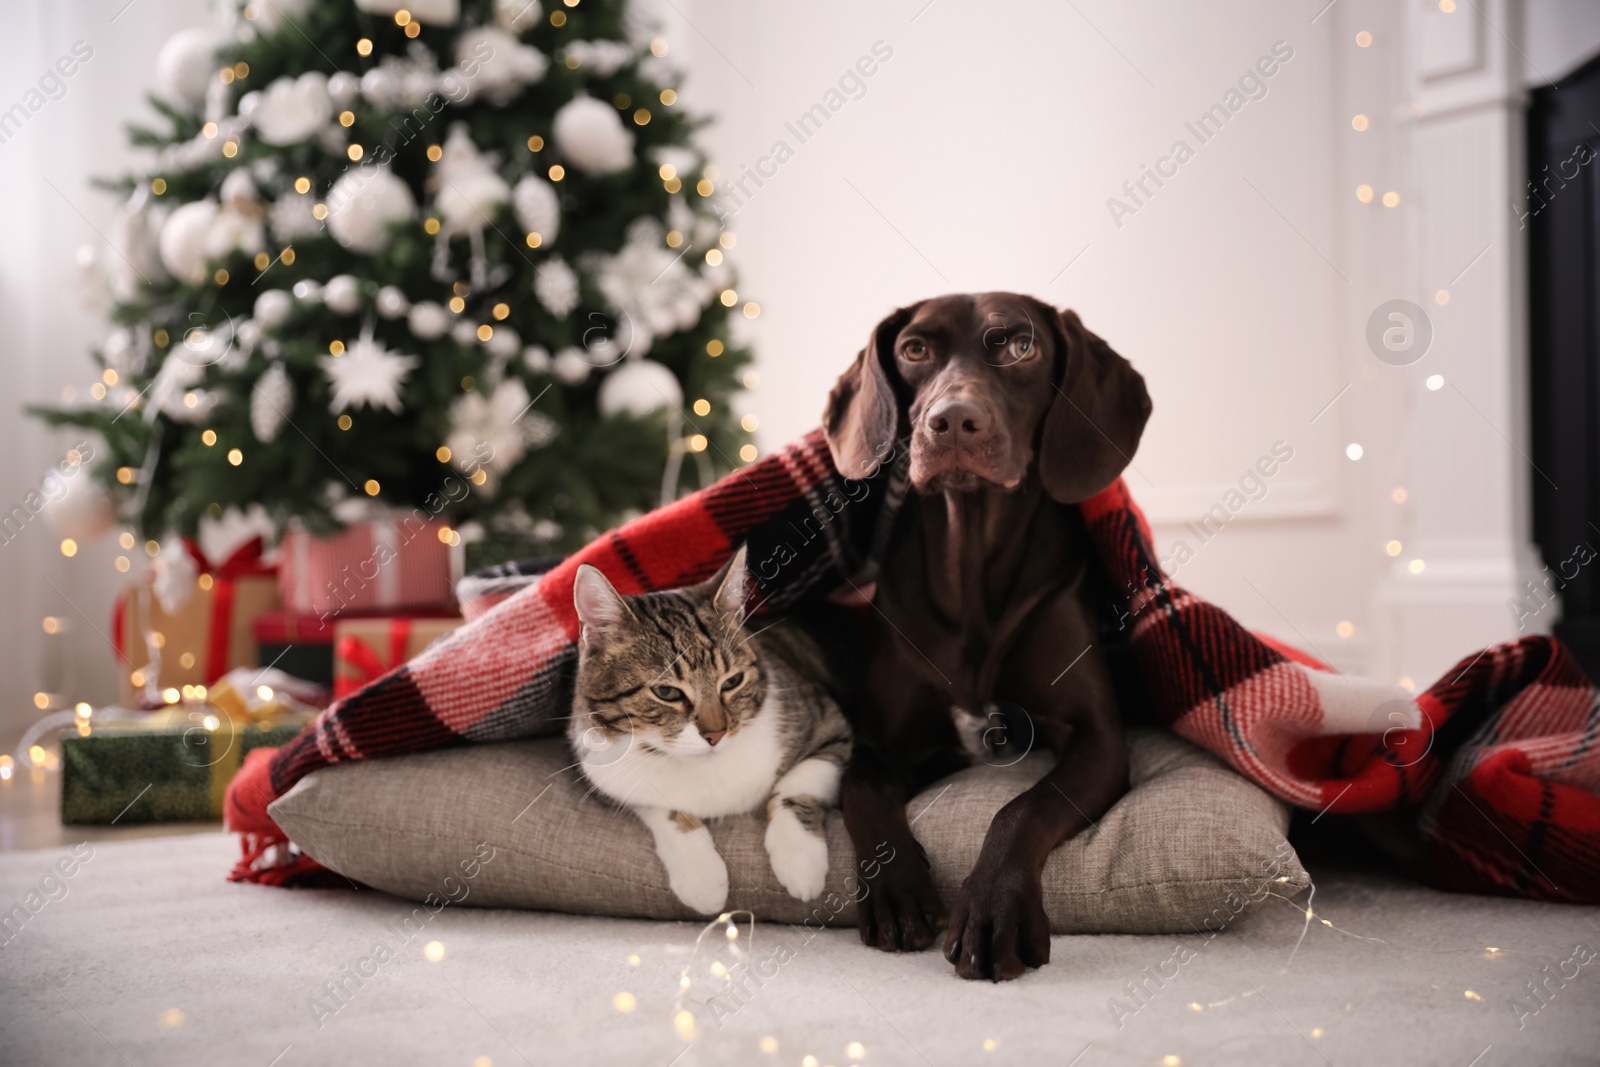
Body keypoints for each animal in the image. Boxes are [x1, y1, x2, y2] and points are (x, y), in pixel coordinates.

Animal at [572, 547, 857, 915]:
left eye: (732, 681)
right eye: (666, 692)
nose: (716, 734)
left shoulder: (830, 724)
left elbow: (796, 784)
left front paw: (800, 861)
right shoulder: (605, 772)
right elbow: (661, 807)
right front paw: (701, 876)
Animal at [825, 292, 1152, 985]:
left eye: (1021, 347)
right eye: (914, 350)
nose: (952, 421)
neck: (971, 568)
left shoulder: (1097, 738)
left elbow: (1021, 807)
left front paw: (993, 909)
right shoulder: (885, 742)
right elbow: (860, 787)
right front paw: (895, 890)